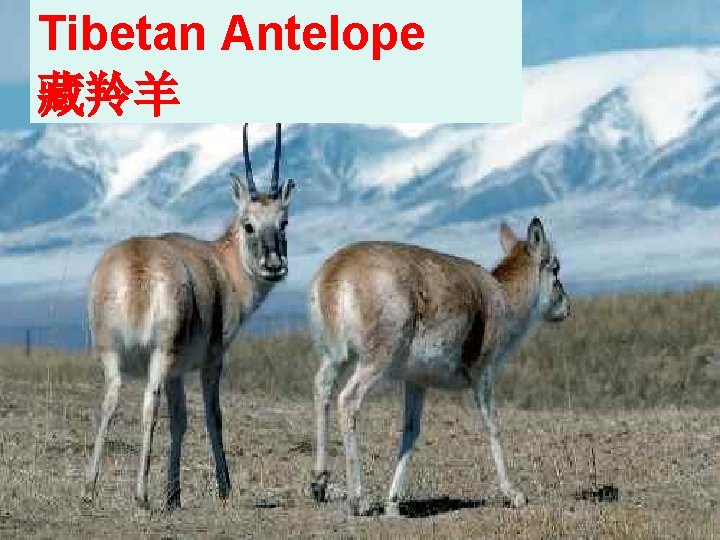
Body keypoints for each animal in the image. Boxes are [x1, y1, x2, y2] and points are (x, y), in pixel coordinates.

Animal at [83, 124, 295, 510]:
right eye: (248, 224)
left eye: (283, 221)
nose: (273, 266)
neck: (221, 264)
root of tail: (137, 259)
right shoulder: (211, 361)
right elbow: (213, 417)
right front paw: (224, 489)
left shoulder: (177, 373)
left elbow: (179, 421)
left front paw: (174, 495)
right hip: (159, 356)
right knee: (148, 407)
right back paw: (141, 494)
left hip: (112, 357)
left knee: (109, 403)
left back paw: (89, 489)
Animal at [308, 217, 570, 515]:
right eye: (555, 266)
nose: (567, 307)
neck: (501, 298)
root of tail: (336, 270)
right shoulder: (483, 376)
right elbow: (492, 426)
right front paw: (514, 494)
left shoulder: (416, 382)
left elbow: (410, 432)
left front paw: (393, 504)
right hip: (374, 362)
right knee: (348, 399)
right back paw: (358, 500)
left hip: (337, 357)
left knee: (321, 388)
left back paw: (319, 484)